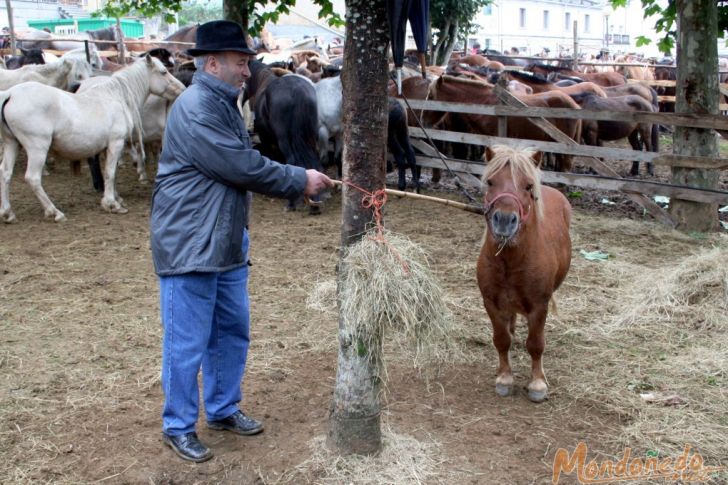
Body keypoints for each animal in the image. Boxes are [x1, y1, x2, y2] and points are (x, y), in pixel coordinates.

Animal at [0, 56, 185, 221]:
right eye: (163, 71)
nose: (182, 88)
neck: (116, 96)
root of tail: (10, 94)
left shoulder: (108, 147)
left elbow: (111, 172)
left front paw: (116, 197)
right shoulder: (116, 143)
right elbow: (110, 172)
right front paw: (112, 204)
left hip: (12, 144)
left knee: (5, 173)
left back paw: (8, 213)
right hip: (37, 148)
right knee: (33, 178)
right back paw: (54, 212)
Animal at [478, 147, 576, 400]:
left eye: (528, 186)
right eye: (490, 182)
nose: (504, 220)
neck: (510, 261)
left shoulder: (539, 306)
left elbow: (535, 344)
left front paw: (537, 384)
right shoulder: (491, 303)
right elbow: (501, 339)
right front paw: (504, 377)